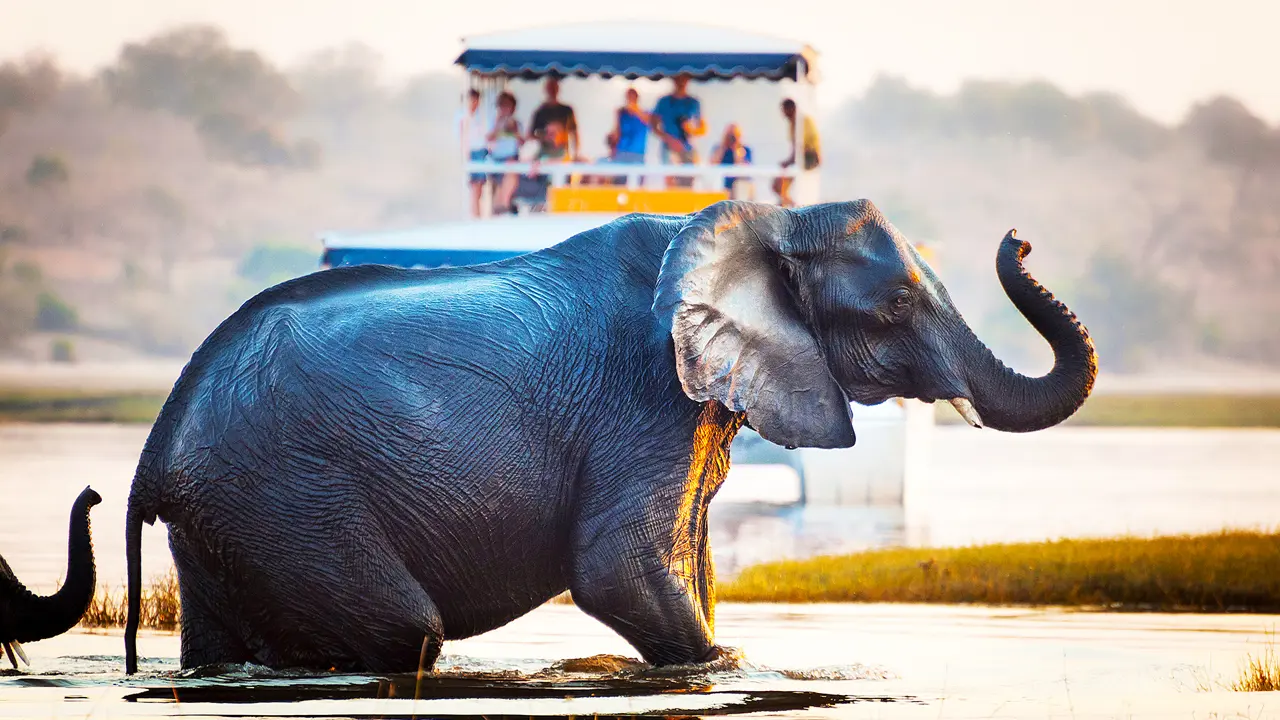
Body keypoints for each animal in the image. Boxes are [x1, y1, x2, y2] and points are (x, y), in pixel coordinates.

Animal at [124, 199, 1096, 674]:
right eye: (896, 303)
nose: (1020, 237)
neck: (752, 224)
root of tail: (155, 455)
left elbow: (689, 566)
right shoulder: (644, 396)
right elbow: (618, 568)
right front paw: (724, 665)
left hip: (232, 518)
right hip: (288, 496)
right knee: (405, 630)